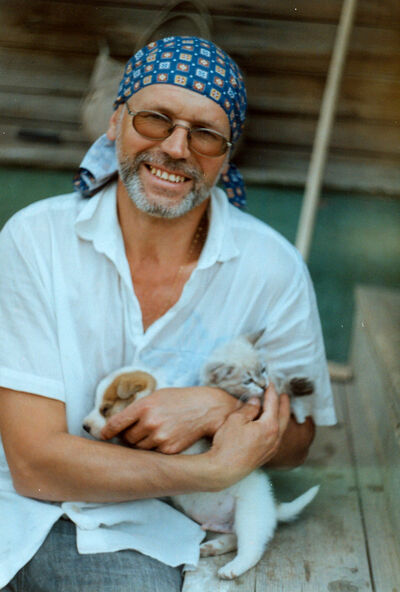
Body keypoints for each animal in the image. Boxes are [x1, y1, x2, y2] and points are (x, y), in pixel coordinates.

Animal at [83, 330, 318, 579]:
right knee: (232, 538)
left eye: (105, 409)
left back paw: (232, 568)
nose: (84, 426)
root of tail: (273, 508)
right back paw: (211, 547)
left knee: (251, 548)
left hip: (249, 513)